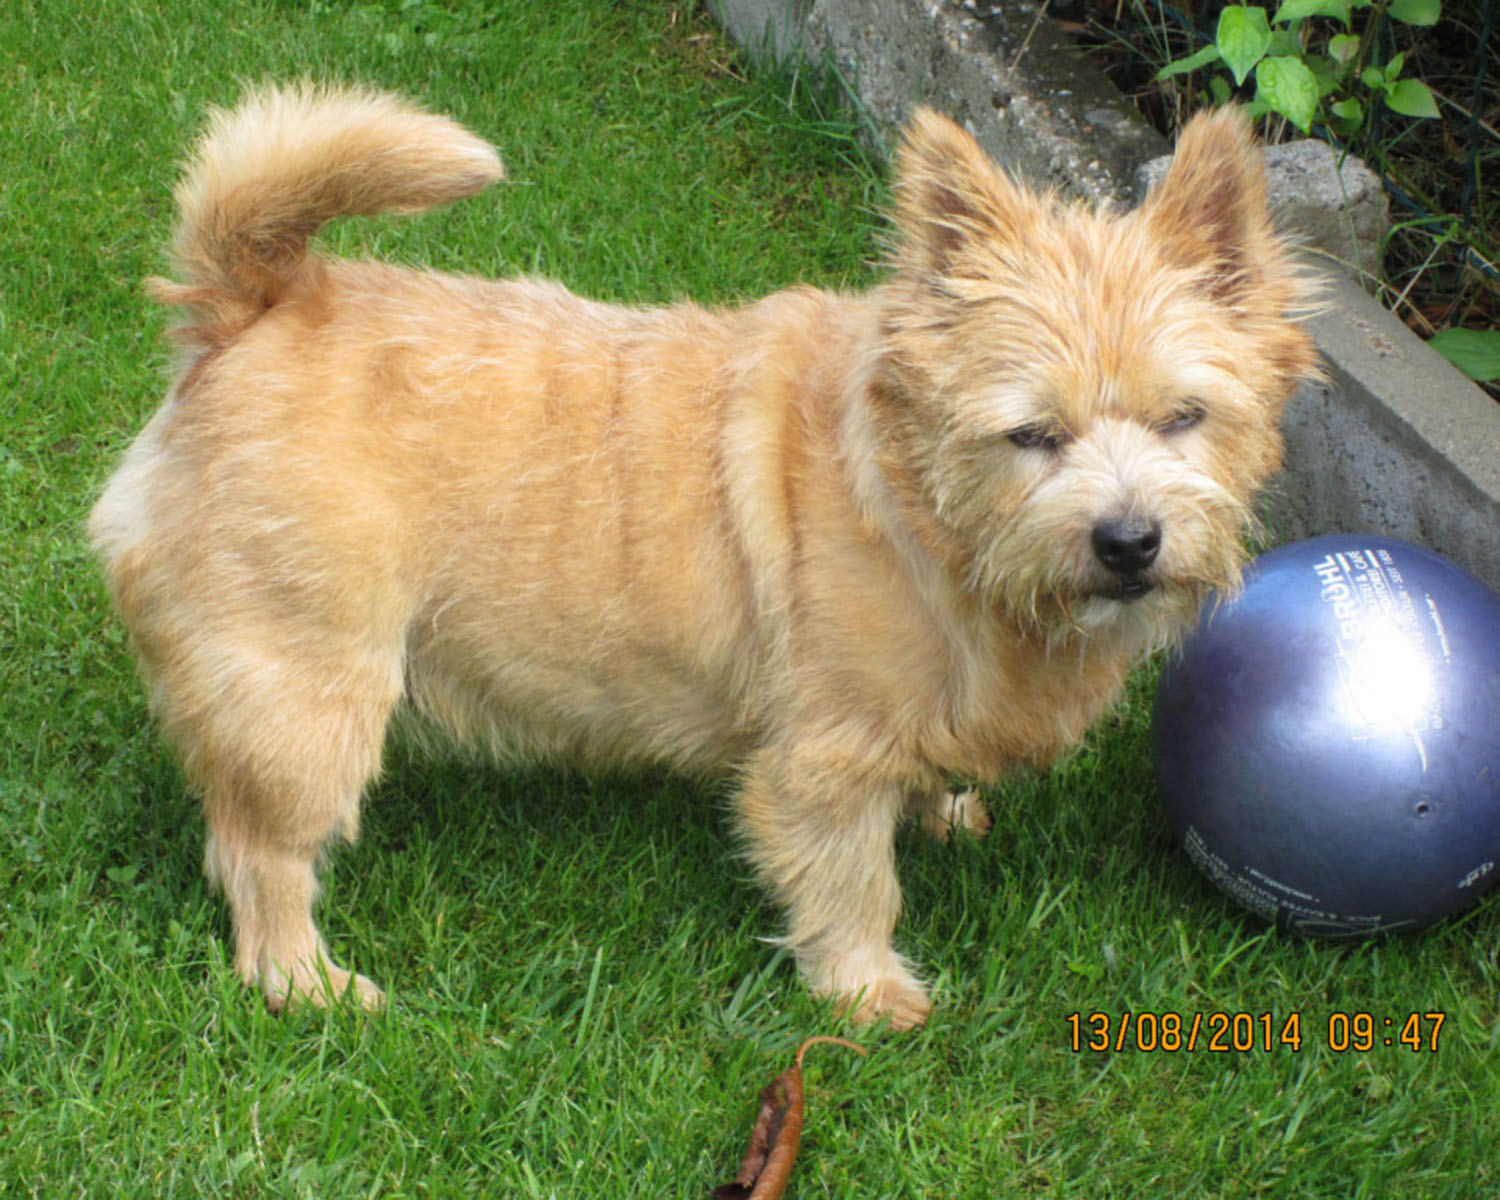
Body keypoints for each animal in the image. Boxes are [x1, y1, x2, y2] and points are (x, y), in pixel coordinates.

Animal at [90, 84, 1314, 1026]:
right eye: (1031, 434)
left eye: (1184, 417)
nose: (1129, 540)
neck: (926, 517)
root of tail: (247, 306)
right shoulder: (821, 767)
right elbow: (853, 886)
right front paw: (867, 995)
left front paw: (947, 814)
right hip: (307, 698)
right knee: (261, 856)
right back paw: (308, 984)